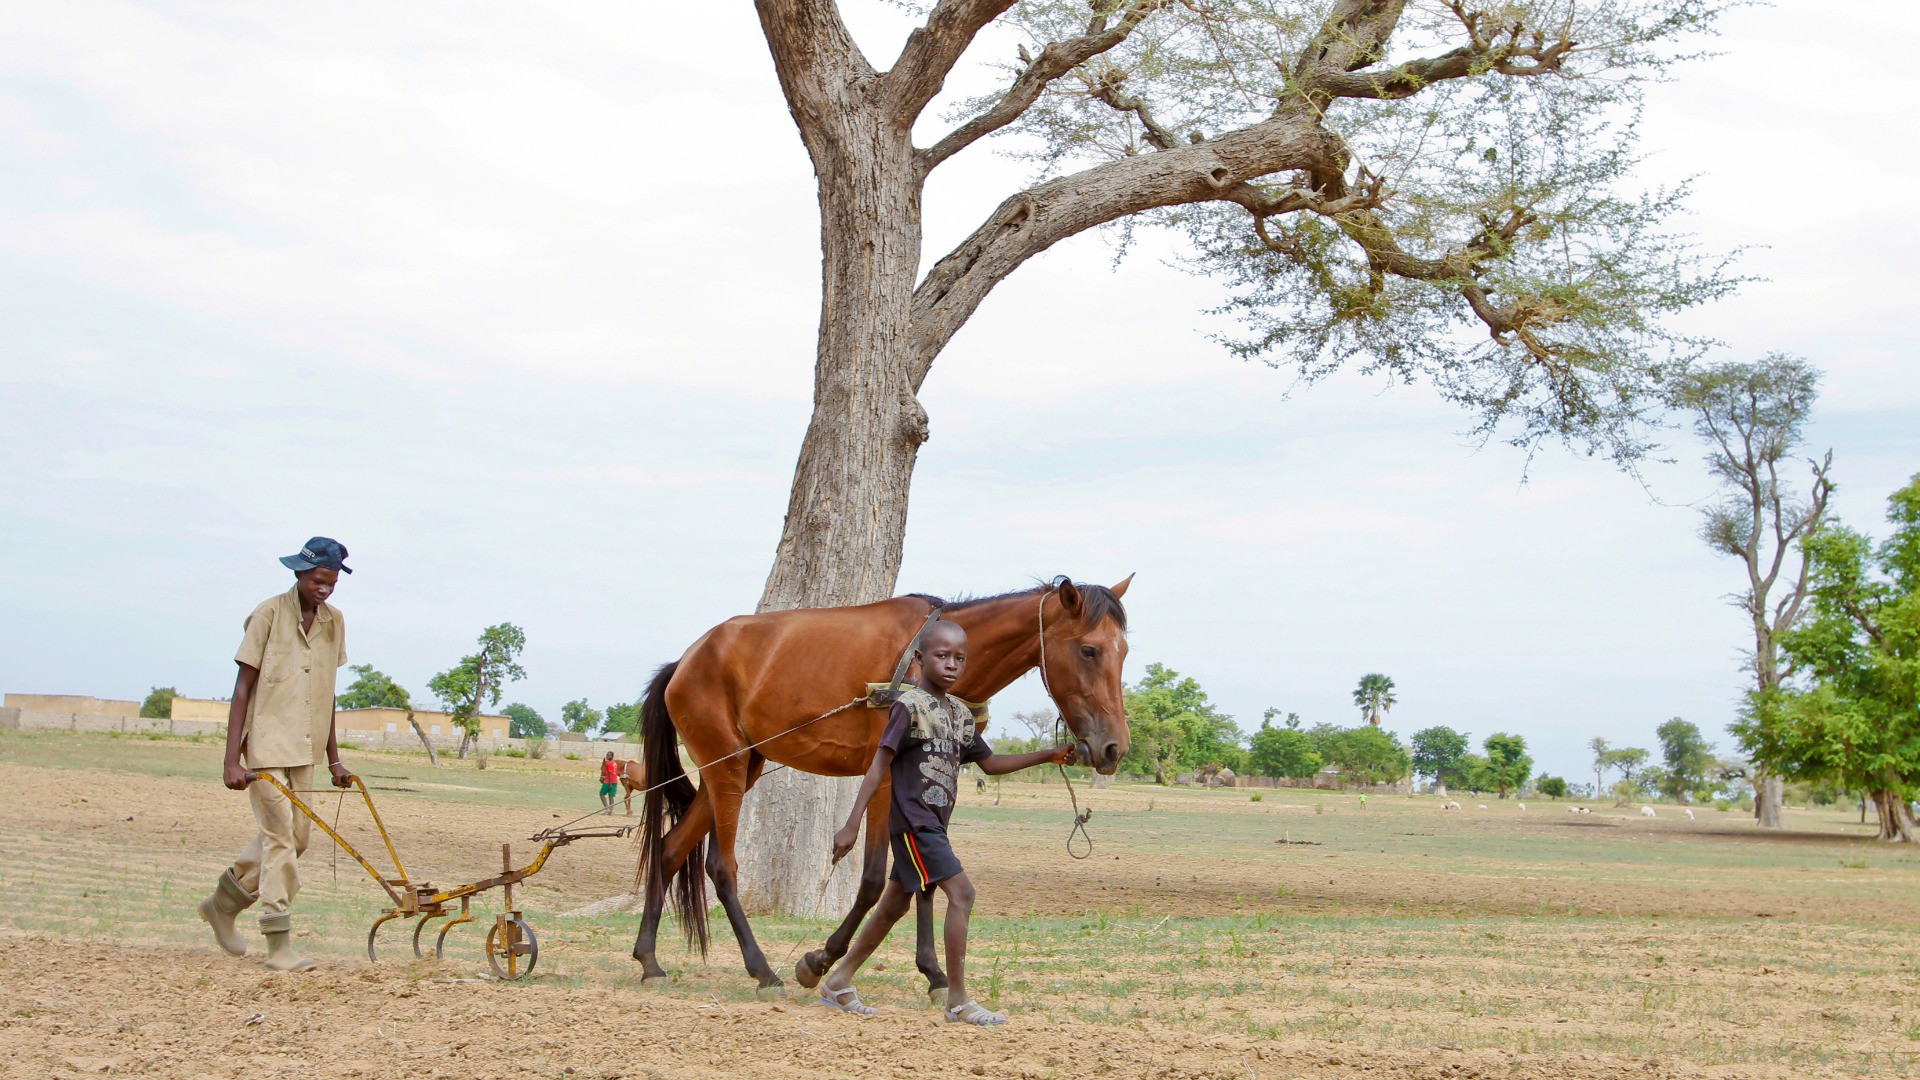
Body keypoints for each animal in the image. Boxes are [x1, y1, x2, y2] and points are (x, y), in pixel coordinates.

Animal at [637, 576, 1128, 991]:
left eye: (1122, 651)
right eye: (1088, 650)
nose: (1114, 747)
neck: (918, 669)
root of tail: (685, 662)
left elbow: (923, 877)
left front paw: (933, 972)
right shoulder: (887, 776)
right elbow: (876, 879)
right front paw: (820, 960)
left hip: (739, 765)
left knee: (669, 849)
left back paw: (649, 959)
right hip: (728, 767)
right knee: (722, 867)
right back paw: (761, 969)